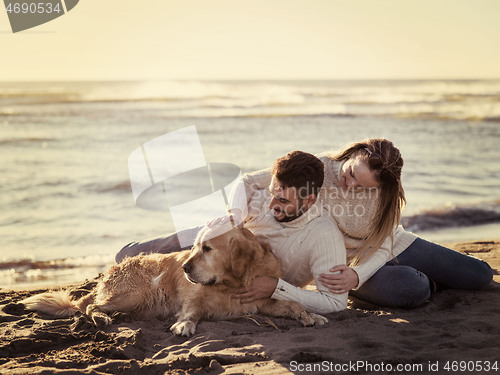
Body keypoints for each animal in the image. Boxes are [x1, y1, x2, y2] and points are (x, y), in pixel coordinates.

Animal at [22, 226, 328, 338]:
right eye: (194, 247)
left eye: (207, 249)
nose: (184, 267)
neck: (233, 283)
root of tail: (110, 272)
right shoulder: (193, 297)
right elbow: (192, 310)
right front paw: (185, 324)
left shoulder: (261, 301)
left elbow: (292, 305)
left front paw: (310, 316)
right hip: (138, 293)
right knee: (89, 306)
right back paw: (102, 318)